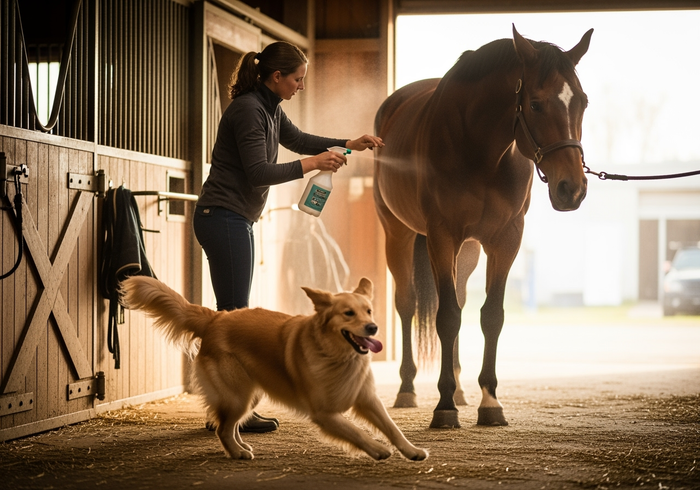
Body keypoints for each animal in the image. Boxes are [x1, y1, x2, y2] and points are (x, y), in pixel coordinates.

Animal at [373, 25, 593, 428]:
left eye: (582, 102)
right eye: (535, 104)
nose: (572, 188)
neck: (483, 151)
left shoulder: (505, 240)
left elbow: (490, 316)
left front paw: (489, 401)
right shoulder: (442, 235)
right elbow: (446, 317)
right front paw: (444, 406)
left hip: (469, 251)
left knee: (458, 299)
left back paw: (460, 389)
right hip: (398, 233)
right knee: (407, 304)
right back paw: (408, 388)